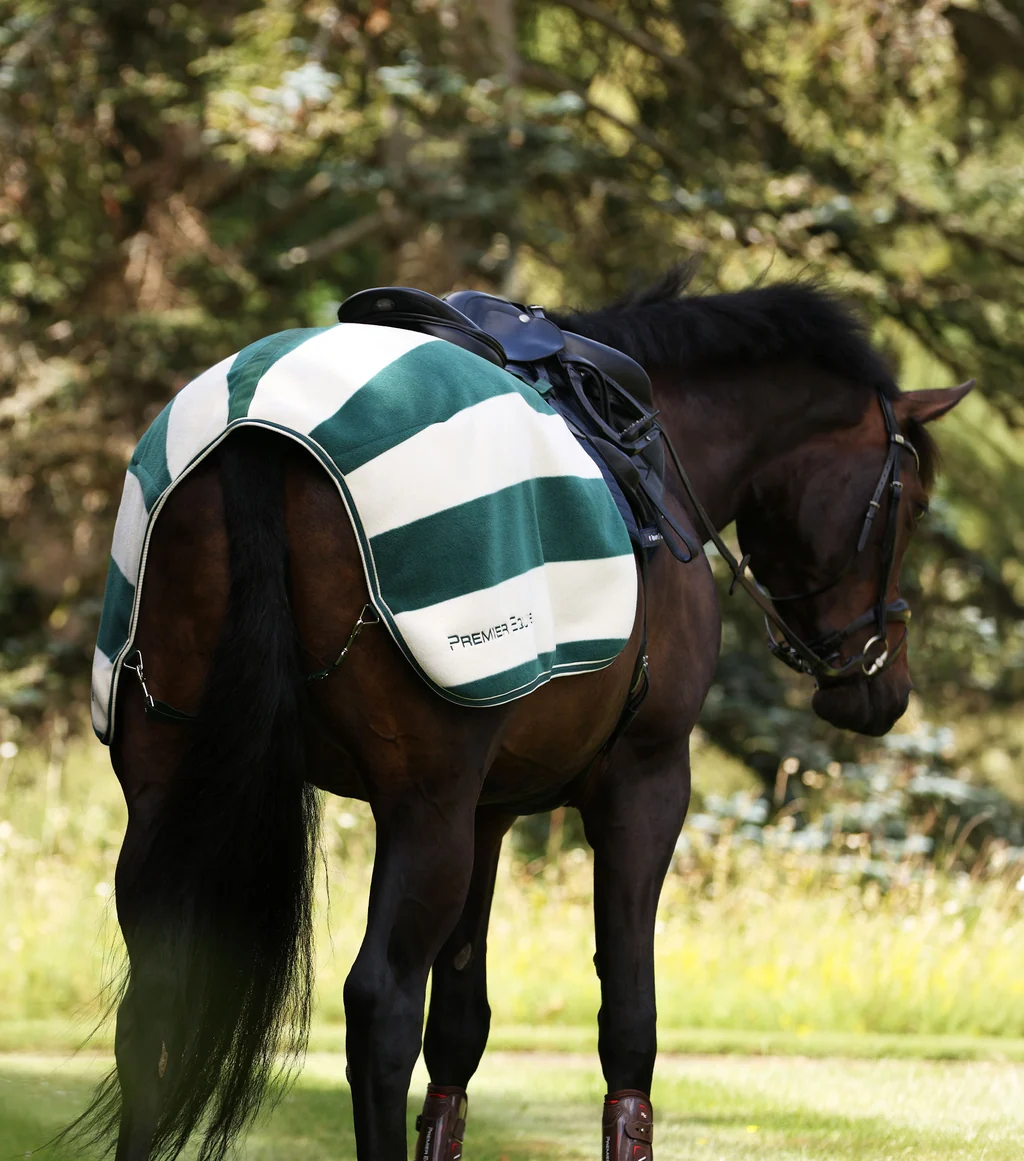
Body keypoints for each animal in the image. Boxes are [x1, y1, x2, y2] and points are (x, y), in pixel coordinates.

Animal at [70, 271, 970, 1161]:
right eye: (914, 502)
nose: (881, 682)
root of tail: (256, 432)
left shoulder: (490, 812)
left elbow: (459, 1033)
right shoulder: (643, 785)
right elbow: (628, 1021)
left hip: (167, 789)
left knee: (152, 1002)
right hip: (422, 809)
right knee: (381, 1005)